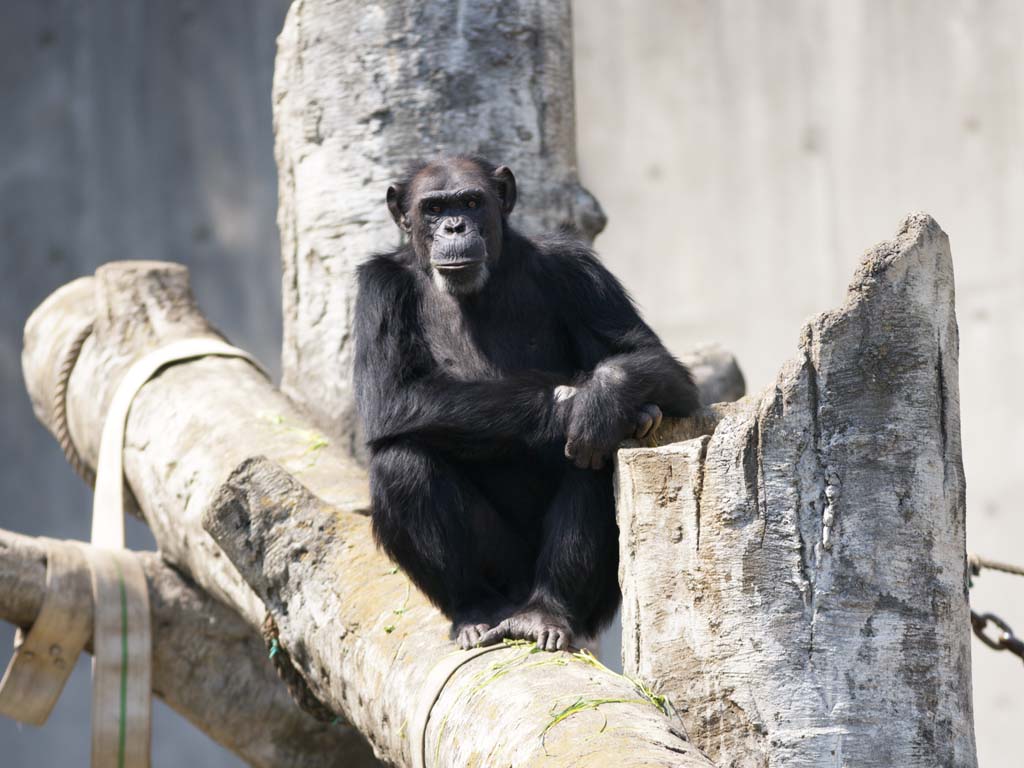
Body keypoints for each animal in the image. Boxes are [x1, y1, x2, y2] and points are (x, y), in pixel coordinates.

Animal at [350, 157, 696, 655]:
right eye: (433, 208)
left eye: (471, 202)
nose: (454, 226)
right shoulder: (378, 289)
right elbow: (390, 396)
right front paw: (571, 406)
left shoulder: (576, 268)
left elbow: (659, 365)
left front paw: (601, 400)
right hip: (504, 571)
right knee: (401, 464)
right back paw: (474, 610)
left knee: (597, 454)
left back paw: (548, 610)